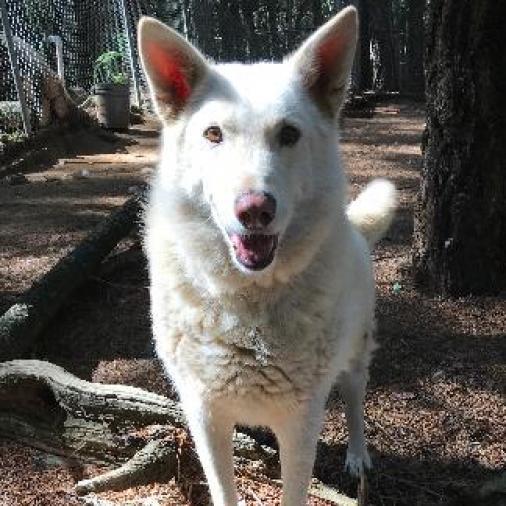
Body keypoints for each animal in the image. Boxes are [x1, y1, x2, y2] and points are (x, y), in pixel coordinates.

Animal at [140, 5, 398, 504]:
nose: (255, 209)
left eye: (289, 134)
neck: (247, 307)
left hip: (355, 357)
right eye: (214, 134)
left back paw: (358, 456)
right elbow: (223, 490)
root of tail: (355, 227)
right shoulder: (205, 417)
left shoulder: (299, 423)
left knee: (355, 403)